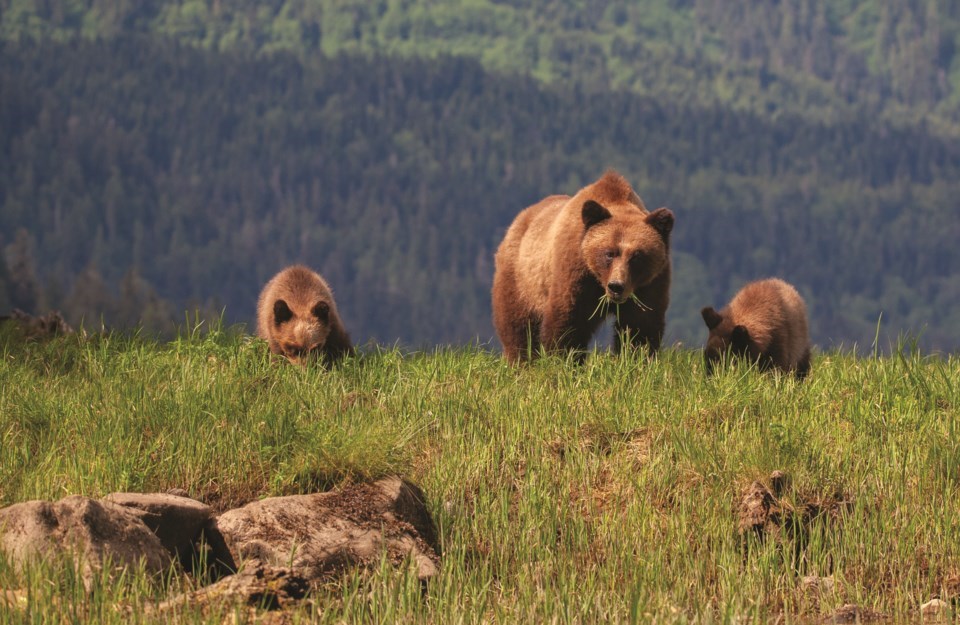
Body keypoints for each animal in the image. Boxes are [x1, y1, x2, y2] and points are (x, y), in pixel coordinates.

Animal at [492, 171, 672, 366]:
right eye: (609, 253)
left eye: (637, 256)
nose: (616, 286)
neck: (599, 280)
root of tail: (519, 219)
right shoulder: (576, 273)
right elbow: (568, 322)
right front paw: (564, 360)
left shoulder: (649, 283)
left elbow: (640, 326)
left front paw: (636, 360)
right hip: (522, 279)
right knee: (518, 326)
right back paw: (521, 361)